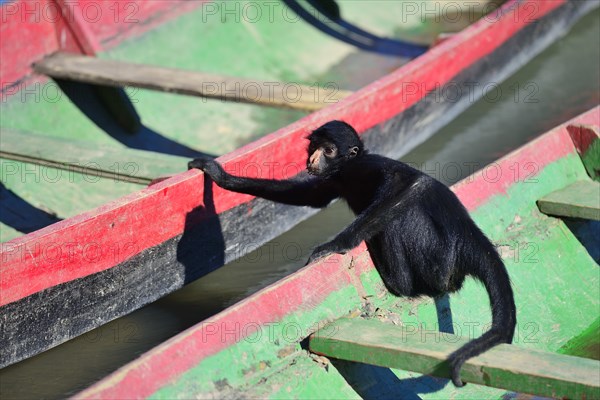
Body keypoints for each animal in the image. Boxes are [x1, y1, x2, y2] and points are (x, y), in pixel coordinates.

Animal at [188, 120, 516, 386]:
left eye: (329, 150)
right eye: (313, 147)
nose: (312, 158)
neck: (345, 169)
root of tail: (468, 235)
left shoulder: (363, 167)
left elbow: (408, 182)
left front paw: (335, 245)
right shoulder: (335, 178)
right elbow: (310, 196)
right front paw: (221, 176)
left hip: (436, 257)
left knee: (402, 215)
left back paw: (397, 280)